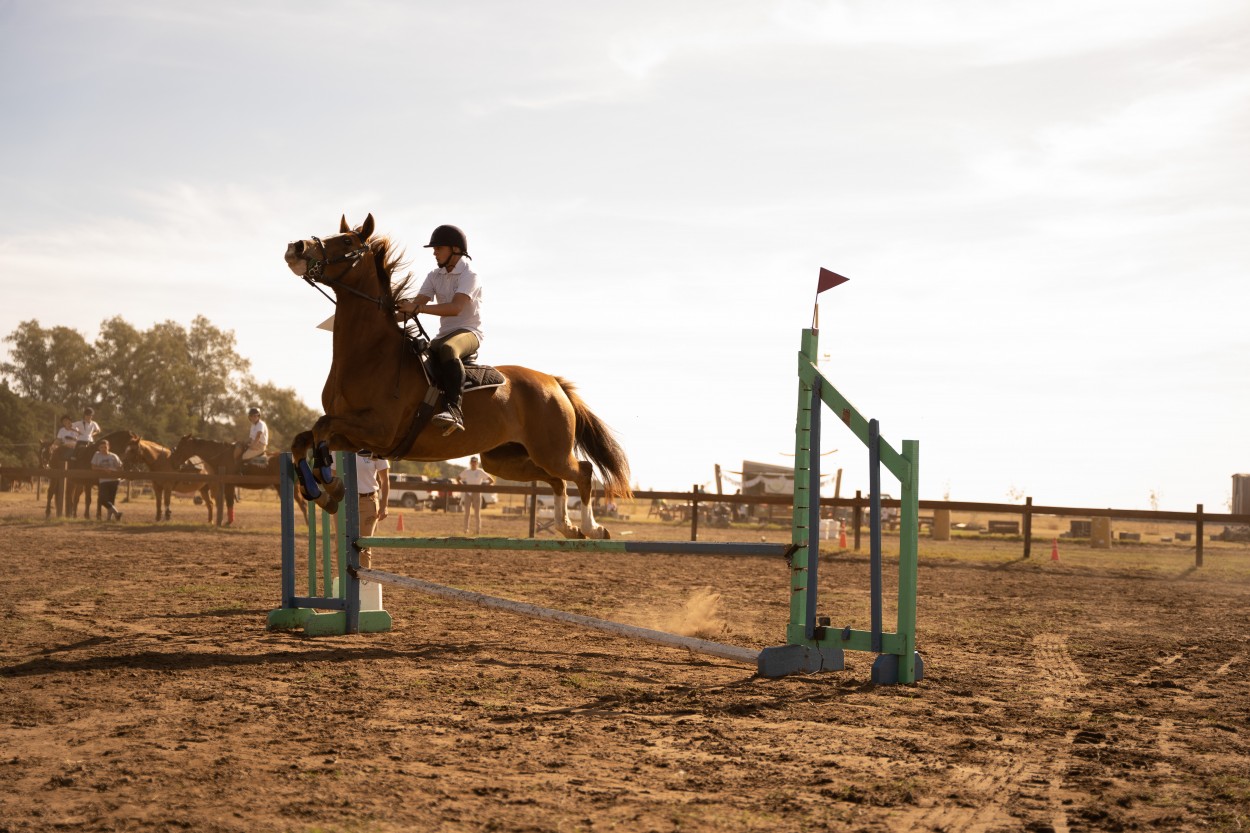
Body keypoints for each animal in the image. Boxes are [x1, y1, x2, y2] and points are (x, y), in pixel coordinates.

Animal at [286, 213, 635, 537]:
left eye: (346, 241)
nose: (296, 247)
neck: (371, 353)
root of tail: (554, 383)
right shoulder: (354, 434)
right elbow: (304, 438)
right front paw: (322, 490)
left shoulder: (378, 430)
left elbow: (321, 427)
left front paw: (329, 483)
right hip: (504, 458)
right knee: (557, 480)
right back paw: (567, 526)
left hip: (551, 451)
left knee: (582, 472)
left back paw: (592, 528)